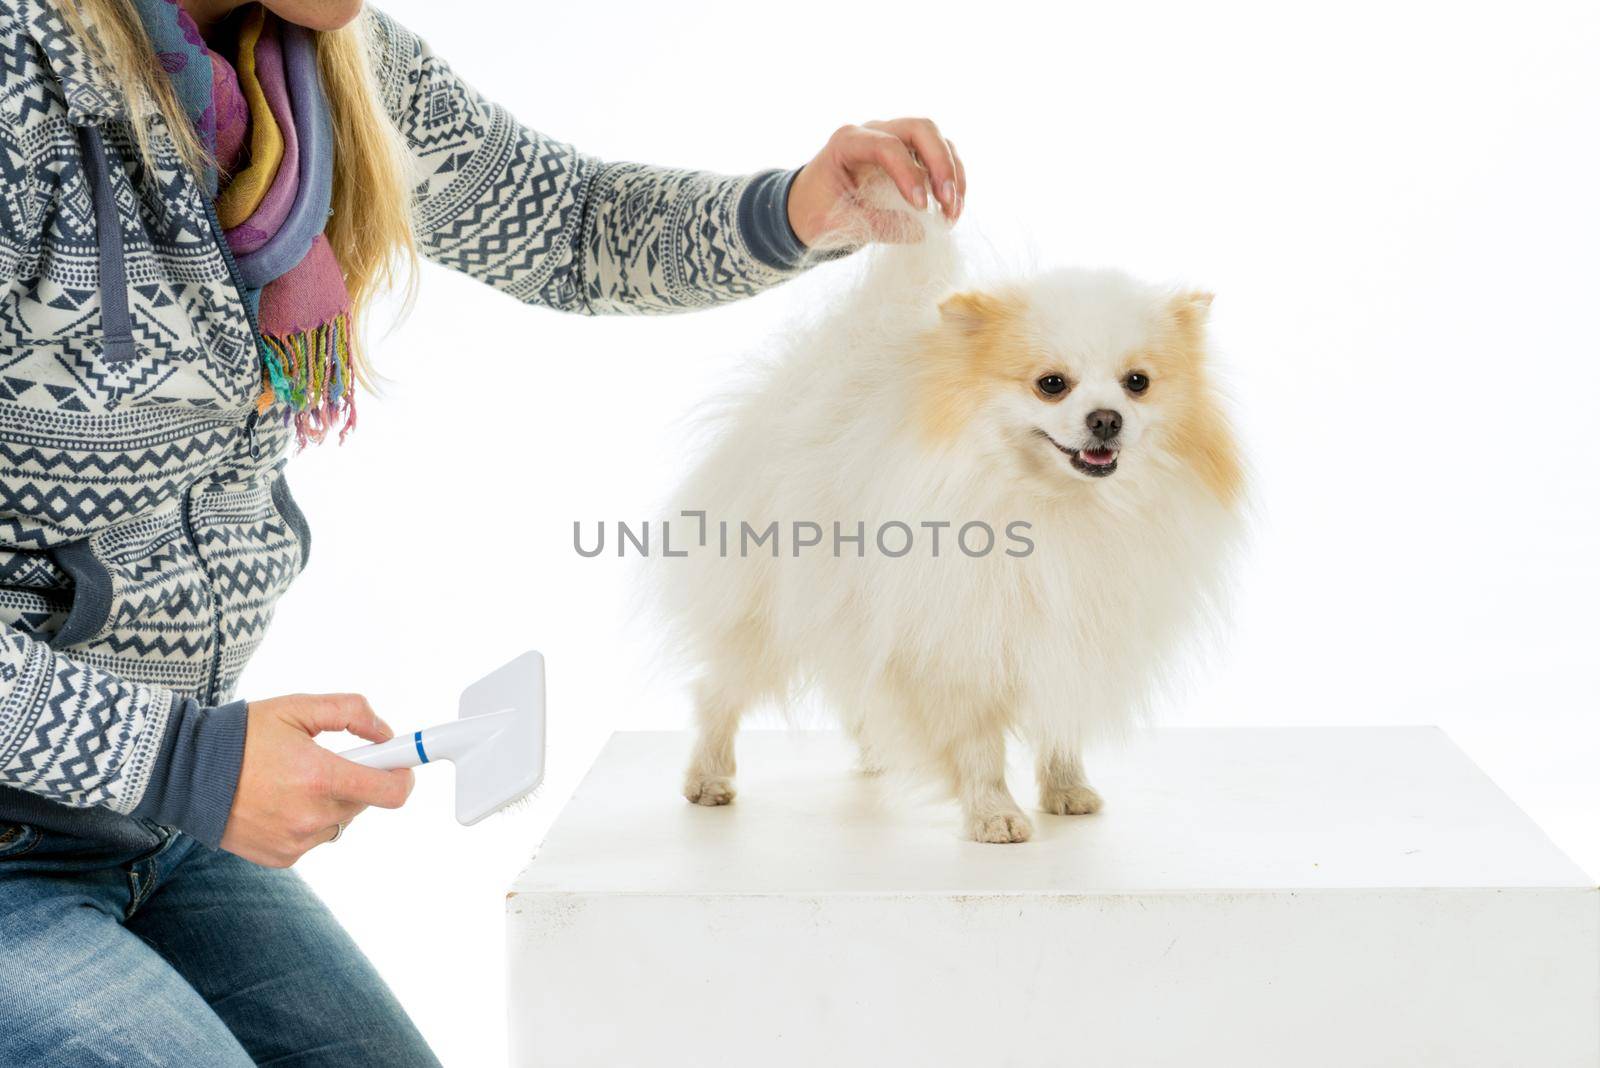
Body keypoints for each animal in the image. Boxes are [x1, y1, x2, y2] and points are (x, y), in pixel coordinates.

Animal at [656, 206, 1241, 844]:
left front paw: (1066, 789)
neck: (1058, 507)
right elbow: (979, 745)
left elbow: (1059, 720)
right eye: (1051, 384)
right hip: (767, 614)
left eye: (1138, 382)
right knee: (717, 692)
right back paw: (707, 777)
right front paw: (994, 814)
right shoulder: (959, 642)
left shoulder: (1070, 637)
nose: (1106, 419)